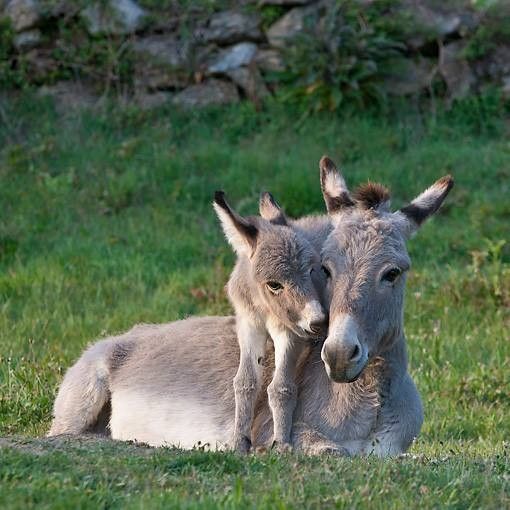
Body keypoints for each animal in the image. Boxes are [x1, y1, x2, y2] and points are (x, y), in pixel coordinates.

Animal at [214, 190, 326, 450]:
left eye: (312, 270)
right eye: (274, 285)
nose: (319, 322)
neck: (264, 308)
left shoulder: (289, 333)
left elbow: (281, 387)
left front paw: (282, 444)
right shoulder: (249, 325)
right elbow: (244, 383)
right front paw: (239, 442)